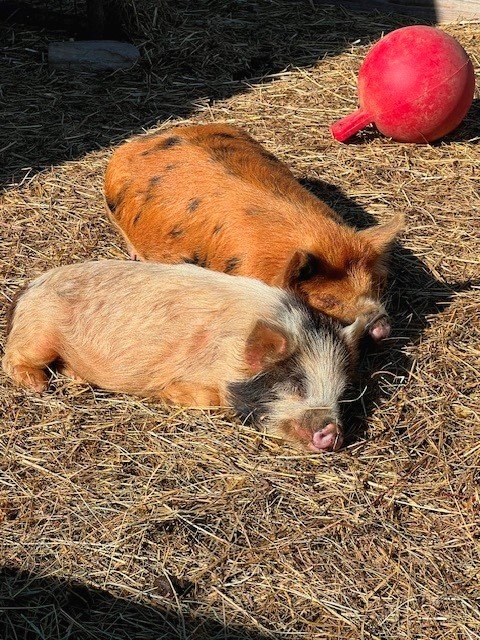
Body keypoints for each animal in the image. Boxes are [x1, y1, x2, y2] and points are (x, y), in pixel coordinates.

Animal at [2, 261, 367, 452]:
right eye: (295, 384)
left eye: (341, 394)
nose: (331, 432)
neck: (230, 352)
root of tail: (29, 287)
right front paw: (170, 394)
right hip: (40, 330)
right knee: (11, 357)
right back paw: (37, 386)